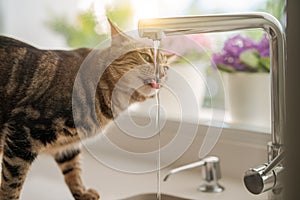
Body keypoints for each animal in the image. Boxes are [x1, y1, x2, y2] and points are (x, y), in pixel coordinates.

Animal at [0, 19, 170, 200]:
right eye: (146, 57)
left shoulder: (67, 146)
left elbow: (73, 170)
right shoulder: (24, 132)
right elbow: (12, 182)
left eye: (166, 68)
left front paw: (81, 192)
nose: (161, 74)